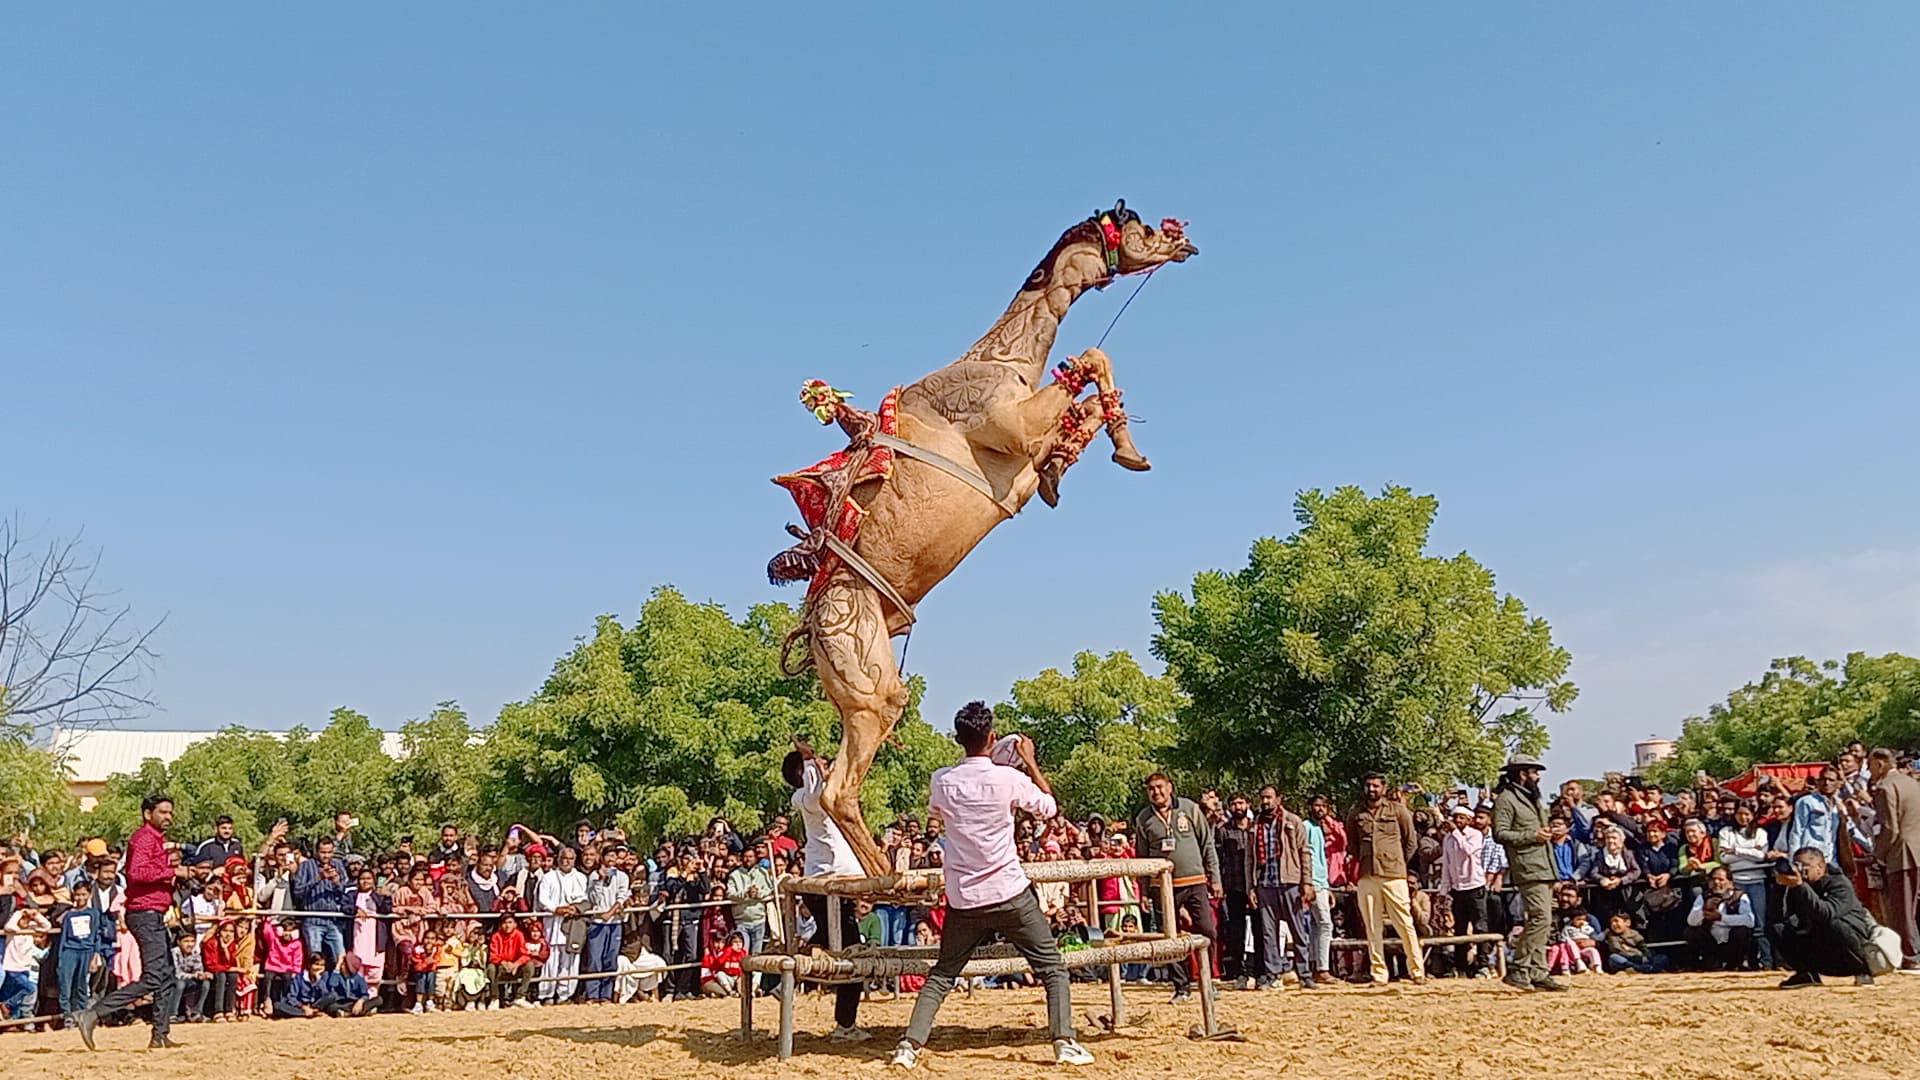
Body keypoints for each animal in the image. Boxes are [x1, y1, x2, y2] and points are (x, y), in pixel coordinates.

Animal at [768, 203, 1190, 876]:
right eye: (1143, 228)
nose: (1184, 241)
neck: (1006, 362)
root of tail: (809, 628)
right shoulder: (1010, 426)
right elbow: (1091, 361)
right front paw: (1126, 452)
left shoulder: (1019, 468)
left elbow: (1080, 408)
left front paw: (1105, 457)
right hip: (865, 675)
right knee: (838, 788)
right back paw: (894, 880)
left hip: (857, 675)